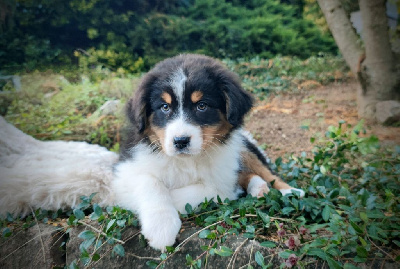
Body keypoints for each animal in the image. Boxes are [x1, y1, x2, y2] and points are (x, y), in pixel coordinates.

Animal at [111, 53, 304, 250]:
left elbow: (198, 190)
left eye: (202, 106)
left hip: (245, 147)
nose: (180, 141)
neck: (186, 160)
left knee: (266, 172)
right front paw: (161, 226)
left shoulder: (222, 181)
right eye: (165, 107)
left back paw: (290, 191)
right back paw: (258, 188)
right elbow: (150, 181)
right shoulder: (125, 169)